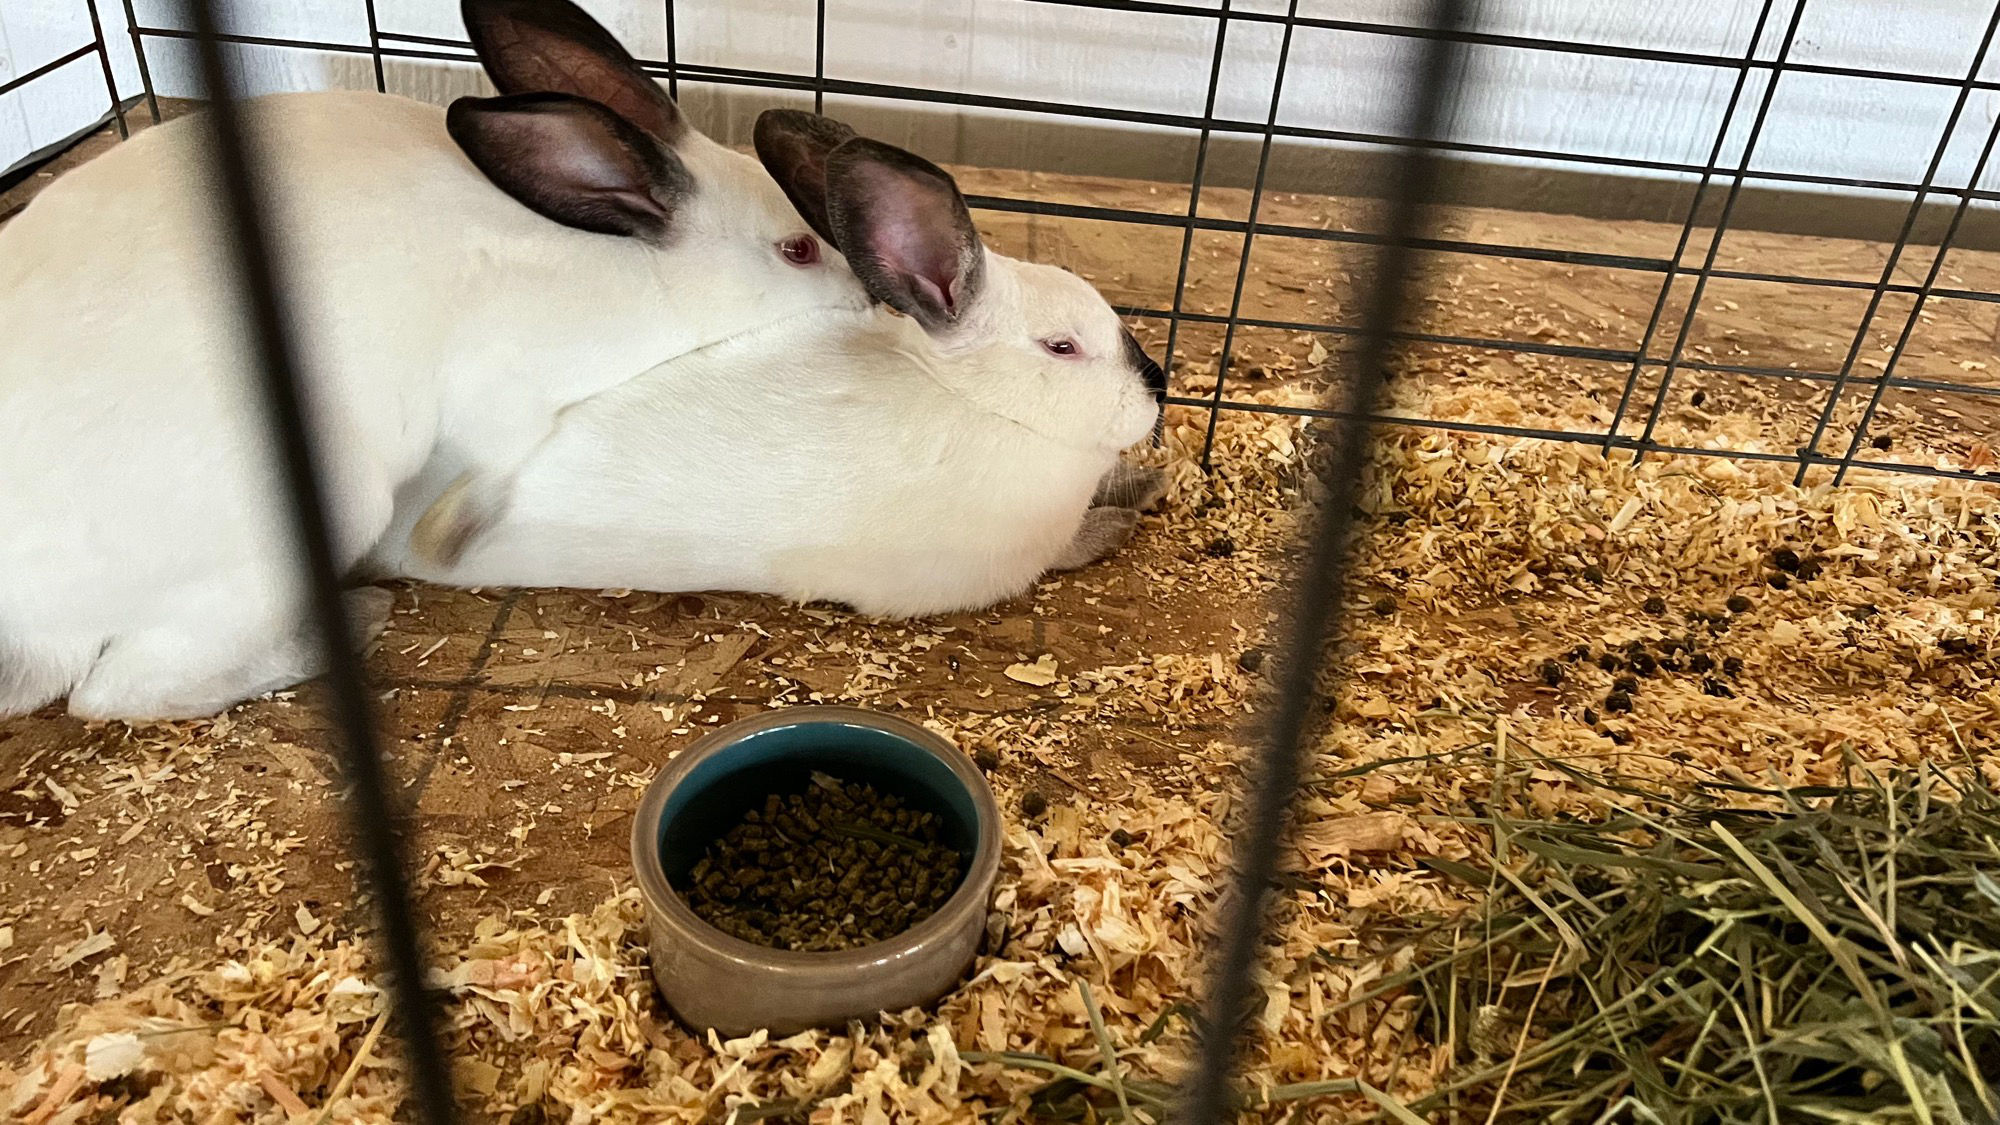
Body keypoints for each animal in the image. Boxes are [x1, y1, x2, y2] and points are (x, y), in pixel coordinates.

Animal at [0, 0, 868, 716]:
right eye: (796, 249)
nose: (864, 294)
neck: (640, 264)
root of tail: (32, 616)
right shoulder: (504, 384)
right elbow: (498, 458)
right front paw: (449, 533)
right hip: (321, 509)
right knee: (118, 692)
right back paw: (354, 622)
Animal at [372, 112, 1168, 612]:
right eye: (1062, 347)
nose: (1157, 388)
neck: (978, 403)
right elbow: (1072, 548)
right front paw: (1126, 516)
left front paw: (1148, 484)